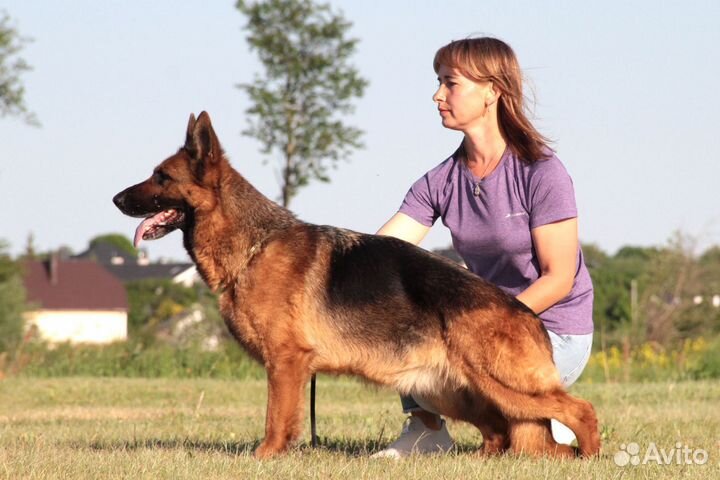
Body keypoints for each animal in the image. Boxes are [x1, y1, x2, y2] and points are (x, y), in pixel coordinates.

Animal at [112, 113, 600, 462]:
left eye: (161, 177)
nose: (115, 198)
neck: (254, 245)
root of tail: (524, 314)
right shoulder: (289, 366)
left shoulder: (286, 363)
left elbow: (275, 419)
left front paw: (265, 457)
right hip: (454, 390)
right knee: (501, 433)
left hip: (501, 384)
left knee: (580, 411)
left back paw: (589, 457)